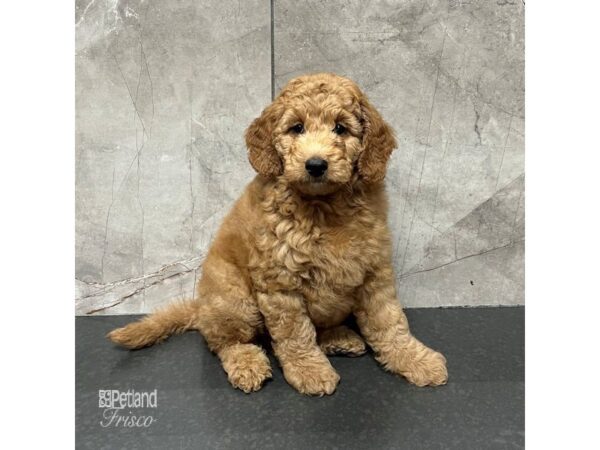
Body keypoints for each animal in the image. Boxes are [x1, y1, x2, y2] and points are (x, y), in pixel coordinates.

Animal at [108, 72, 448, 396]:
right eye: (297, 128)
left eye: (340, 128)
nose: (315, 164)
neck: (324, 206)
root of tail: (201, 309)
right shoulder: (280, 281)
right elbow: (295, 333)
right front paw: (310, 370)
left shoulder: (374, 272)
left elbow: (389, 321)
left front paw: (415, 359)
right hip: (236, 301)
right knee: (225, 342)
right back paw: (247, 363)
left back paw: (339, 338)